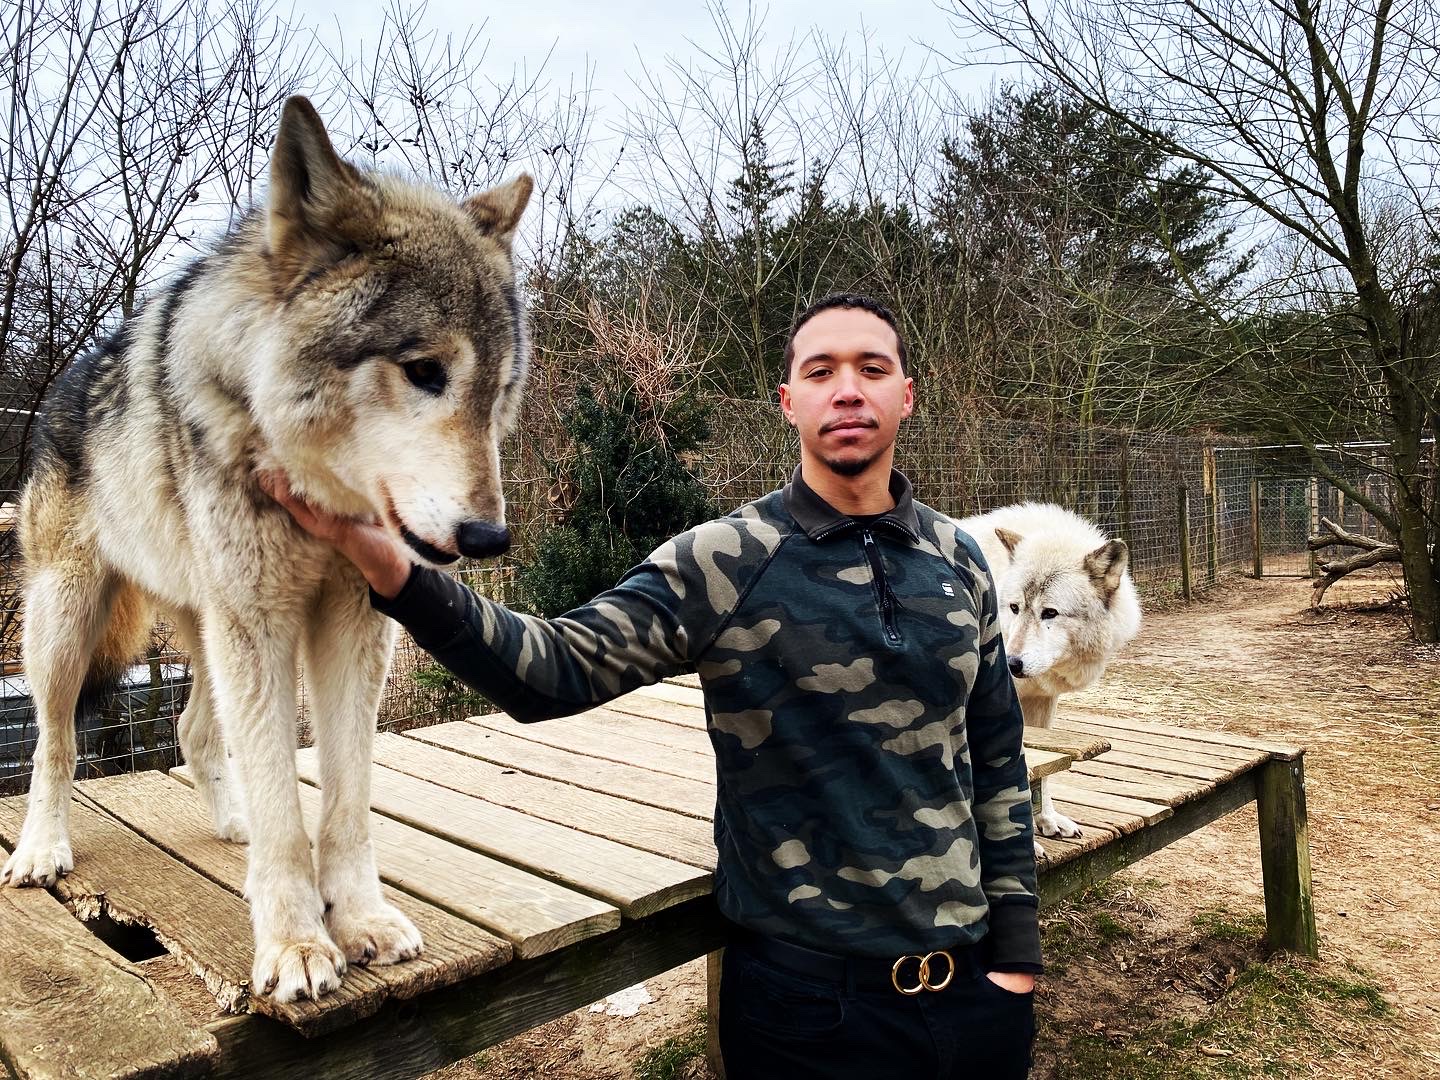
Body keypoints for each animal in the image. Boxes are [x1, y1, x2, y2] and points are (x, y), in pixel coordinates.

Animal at [0, 96, 533, 1003]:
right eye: (424, 371)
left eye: (496, 393)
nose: (488, 537)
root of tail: (67, 388)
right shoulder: (263, 620)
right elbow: (289, 808)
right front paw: (295, 944)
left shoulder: (356, 622)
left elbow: (345, 800)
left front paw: (360, 920)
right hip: (71, 625)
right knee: (55, 742)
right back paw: (43, 848)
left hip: (207, 628)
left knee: (191, 730)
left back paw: (232, 824)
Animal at [956, 503, 1141, 856]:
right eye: (1014, 607)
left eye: (1050, 613)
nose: (1011, 664)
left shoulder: (1041, 704)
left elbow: (1044, 772)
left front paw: (1047, 820)